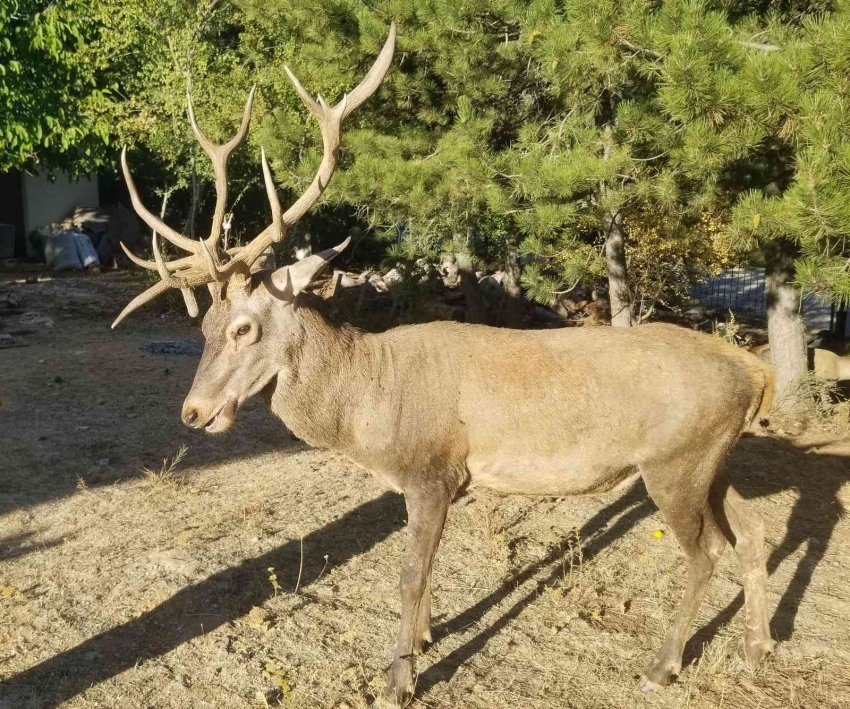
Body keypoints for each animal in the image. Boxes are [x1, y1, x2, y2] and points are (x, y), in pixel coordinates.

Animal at [114, 23, 776, 708]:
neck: (370, 406)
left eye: (244, 327)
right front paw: (427, 639)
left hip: (675, 461)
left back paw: (662, 665)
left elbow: (409, 574)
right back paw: (758, 649)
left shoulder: (433, 471)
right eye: (203, 327)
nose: (194, 412)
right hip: (712, 459)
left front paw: (398, 677)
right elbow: (427, 574)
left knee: (707, 553)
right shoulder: (439, 482)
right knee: (755, 532)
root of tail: (758, 373)